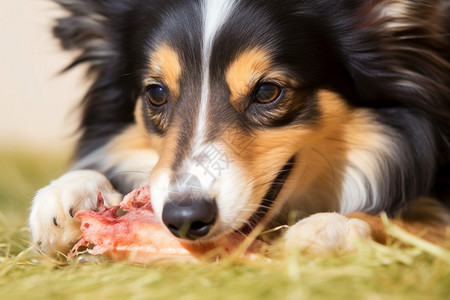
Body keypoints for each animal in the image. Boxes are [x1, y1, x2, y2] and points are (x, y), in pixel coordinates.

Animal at [29, 0, 448, 258]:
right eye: (156, 93)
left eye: (267, 91)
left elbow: (408, 222)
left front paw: (332, 226)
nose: (184, 218)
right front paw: (70, 191)